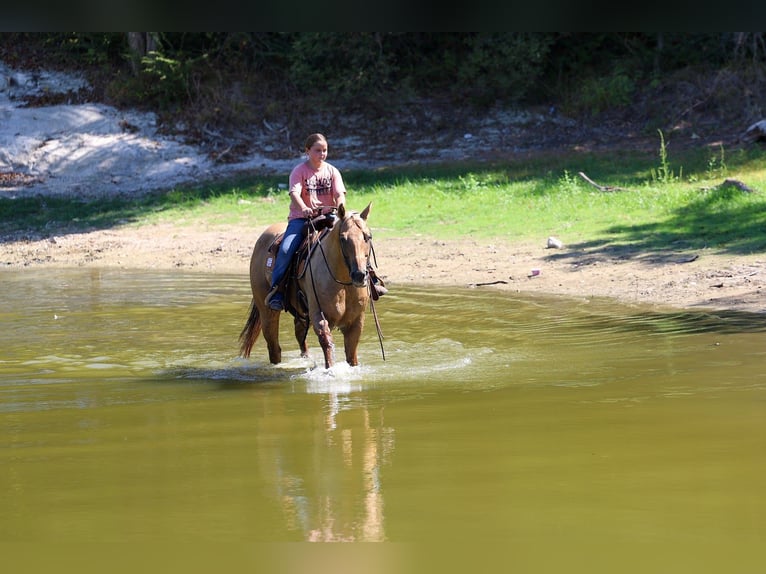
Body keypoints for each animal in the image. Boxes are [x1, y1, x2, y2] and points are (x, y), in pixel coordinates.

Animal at [239, 202, 375, 369]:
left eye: (368, 237)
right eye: (343, 238)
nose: (359, 275)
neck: (343, 283)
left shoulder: (356, 322)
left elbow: (352, 355)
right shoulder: (319, 316)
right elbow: (327, 344)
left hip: (301, 313)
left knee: (299, 335)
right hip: (267, 313)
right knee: (274, 347)